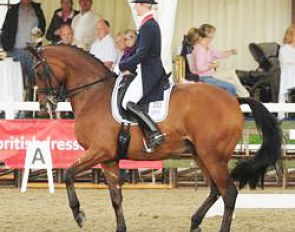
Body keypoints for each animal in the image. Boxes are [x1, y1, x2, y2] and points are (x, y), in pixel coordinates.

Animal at [28, 44, 282, 232]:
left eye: (39, 73)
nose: (43, 106)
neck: (93, 94)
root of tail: (234, 100)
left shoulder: (99, 151)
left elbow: (69, 174)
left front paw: (78, 214)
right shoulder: (109, 158)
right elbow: (115, 197)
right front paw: (120, 228)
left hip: (213, 157)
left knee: (229, 193)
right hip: (201, 155)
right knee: (215, 190)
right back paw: (194, 222)